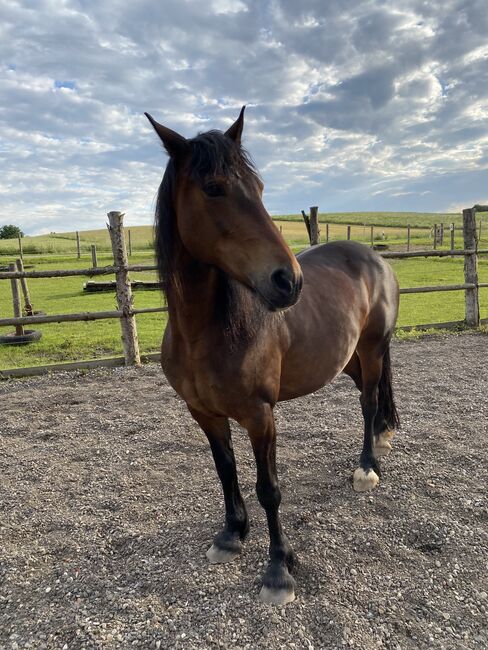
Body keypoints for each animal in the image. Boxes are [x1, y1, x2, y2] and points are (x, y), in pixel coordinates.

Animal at [146, 107, 400, 604]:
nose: (289, 281)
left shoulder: (260, 416)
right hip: (350, 359)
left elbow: (269, 489)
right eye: (213, 188)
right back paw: (381, 441)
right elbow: (225, 471)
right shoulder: (204, 413)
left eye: (260, 189)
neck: (205, 332)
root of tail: (375, 258)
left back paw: (367, 467)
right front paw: (231, 535)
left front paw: (278, 570)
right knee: (374, 397)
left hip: (372, 349)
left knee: (368, 402)